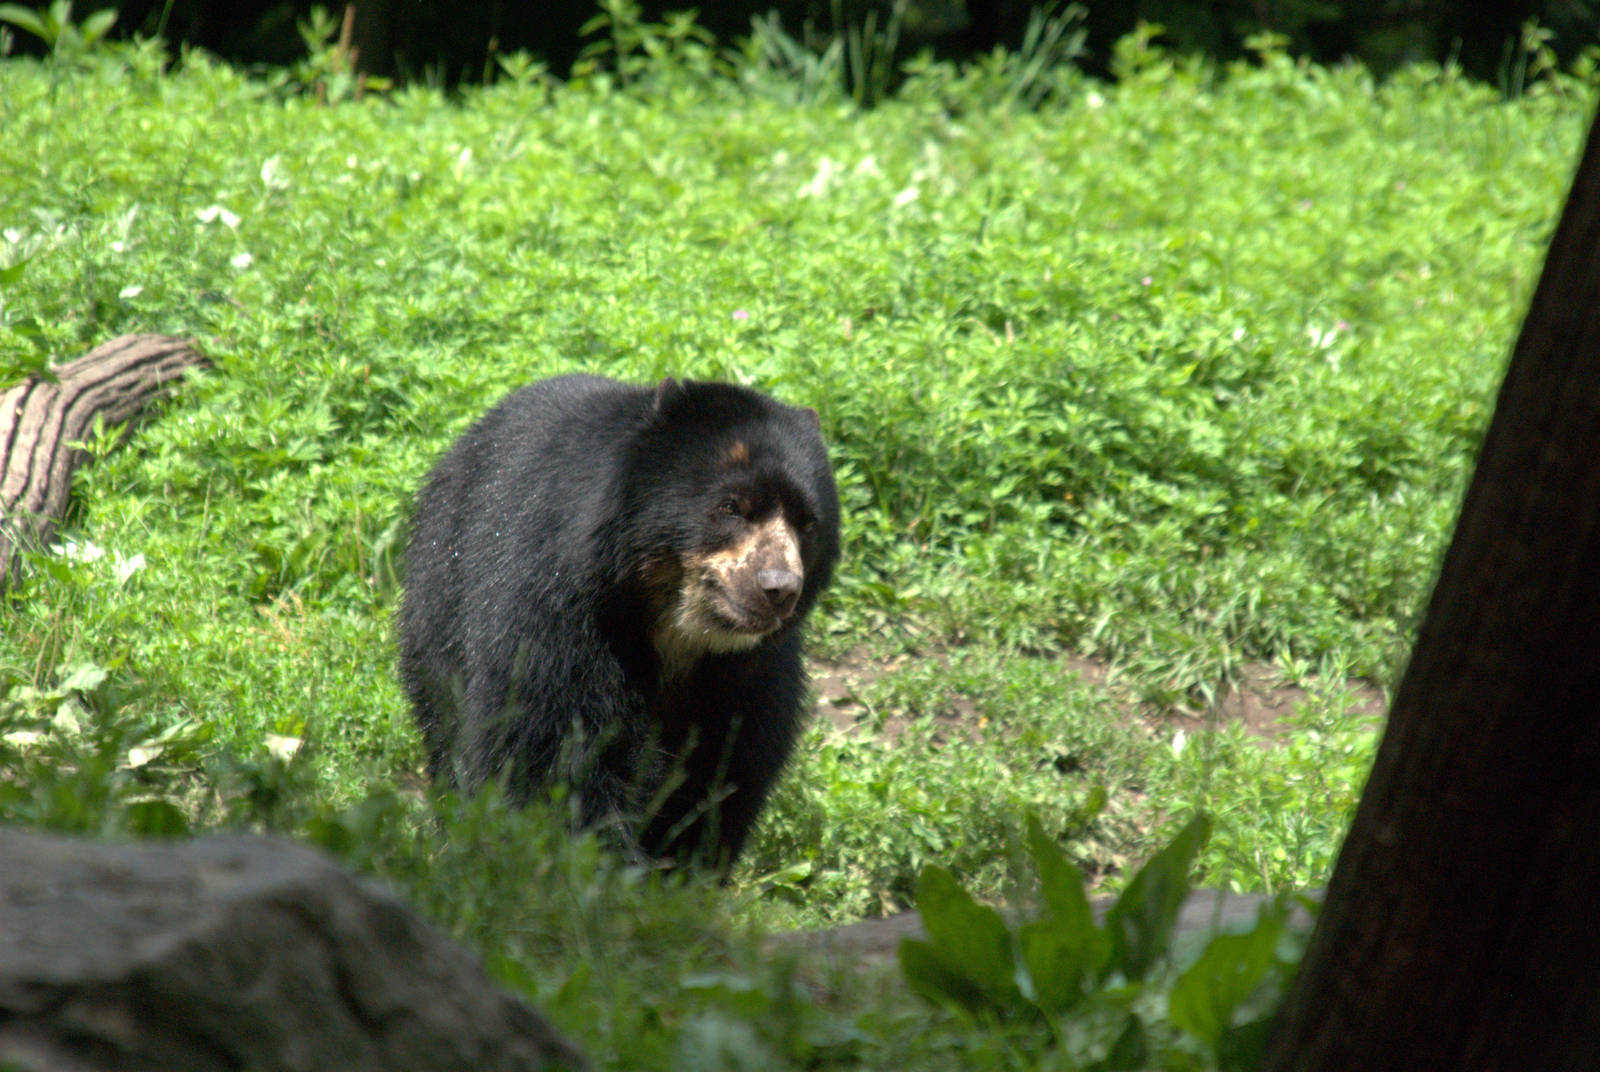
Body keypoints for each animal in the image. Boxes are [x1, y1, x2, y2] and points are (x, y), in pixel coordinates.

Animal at [398, 373, 840, 869]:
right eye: (730, 507)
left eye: (807, 523)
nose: (778, 588)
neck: (677, 632)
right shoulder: (559, 614)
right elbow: (554, 749)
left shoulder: (751, 677)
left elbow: (725, 773)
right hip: (442, 594)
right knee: (445, 722)